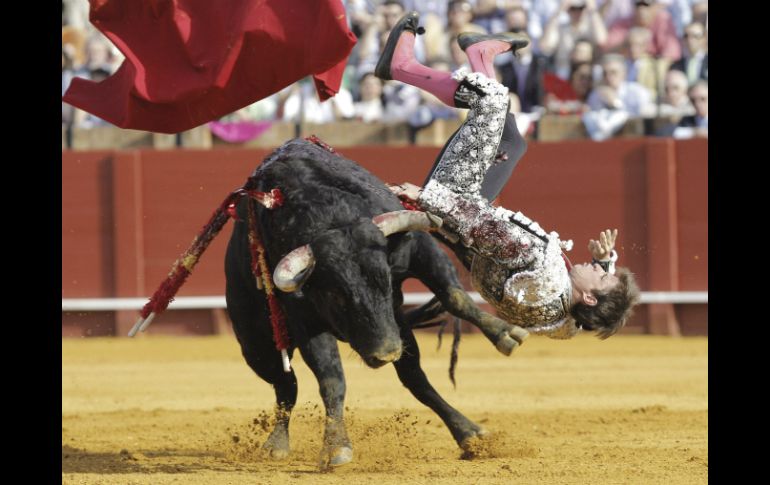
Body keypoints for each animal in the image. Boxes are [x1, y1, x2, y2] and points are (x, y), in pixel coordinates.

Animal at [222, 139, 520, 466]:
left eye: (387, 282)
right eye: (335, 296)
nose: (386, 353)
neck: (332, 218)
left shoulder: (420, 250)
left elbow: (454, 297)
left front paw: (504, 333)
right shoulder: (305, 318)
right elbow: (332, 379)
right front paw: (336, 445)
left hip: (398, 326)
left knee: (415, 377)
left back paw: (468, 432)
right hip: (255, 346)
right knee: (285, 385)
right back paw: (276, 443)